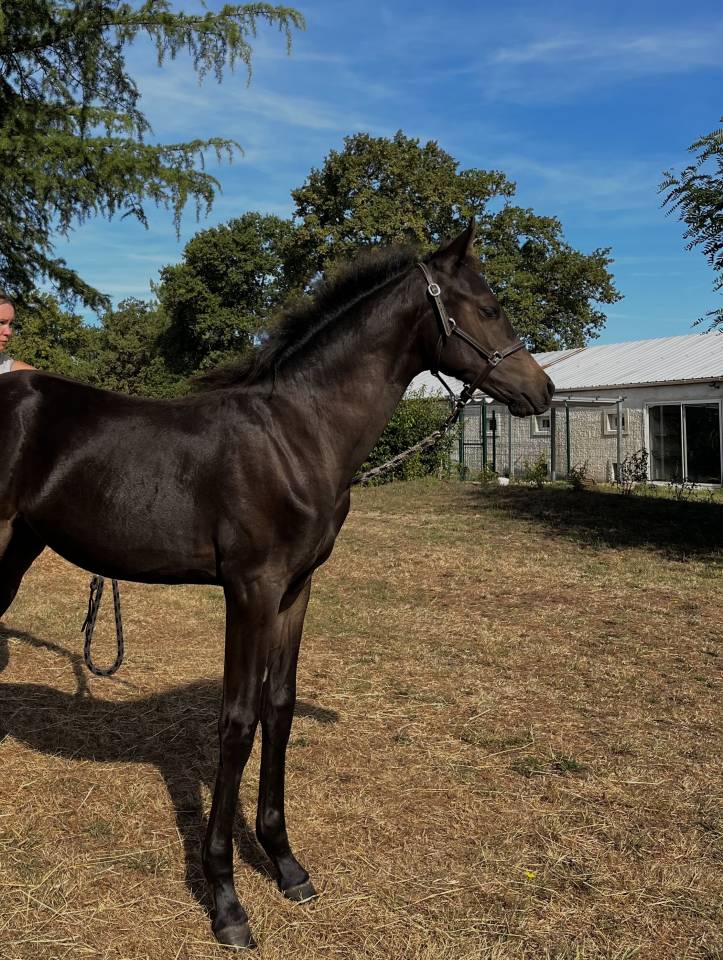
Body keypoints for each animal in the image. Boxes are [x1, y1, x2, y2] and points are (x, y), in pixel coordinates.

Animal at [0, 223, 554, 949]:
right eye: (488, 308)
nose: (542, 392)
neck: (299, 435)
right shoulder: (250, 590)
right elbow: (237, 721)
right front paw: (226, 901)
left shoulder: (296, 590)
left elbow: (279, 709)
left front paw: (286, 864)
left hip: (20, 543)